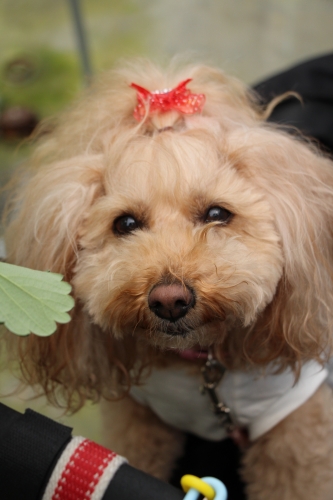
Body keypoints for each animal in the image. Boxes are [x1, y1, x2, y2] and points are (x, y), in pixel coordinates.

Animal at [3, 60, 332, 498]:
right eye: (124, 223)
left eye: (217, 214)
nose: (169, 300)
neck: (201, 366)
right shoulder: (138, 420)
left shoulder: (293, 428)